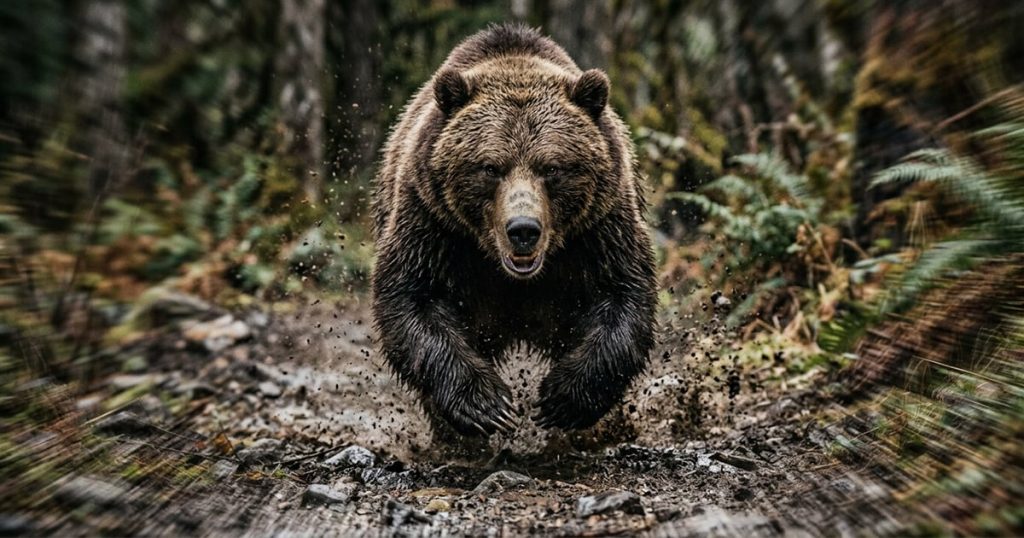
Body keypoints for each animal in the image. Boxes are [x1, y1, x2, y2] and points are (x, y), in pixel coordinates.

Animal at [371, 23, 656, 436]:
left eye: (552, 167)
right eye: (490, 167)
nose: (523, 229)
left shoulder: (598, 228)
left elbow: (622, 294)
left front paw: (561, 400)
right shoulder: (433, 222)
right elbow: (413, 297)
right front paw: (486, 405)